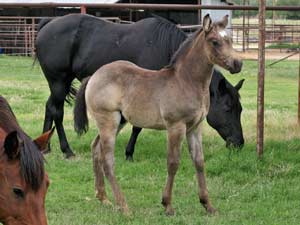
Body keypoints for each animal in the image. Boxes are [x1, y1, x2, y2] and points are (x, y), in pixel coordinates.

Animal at [36, 14, 245, 158]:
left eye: (240, 109)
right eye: (227, 108)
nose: (239, 143)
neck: (162, 47)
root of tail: (48, 24)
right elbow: (137, 126)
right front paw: (129, 152)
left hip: (59, 84)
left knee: (49, 107)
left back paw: (45, 146)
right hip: (59, 81)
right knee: (57, 111)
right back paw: (66, 150)